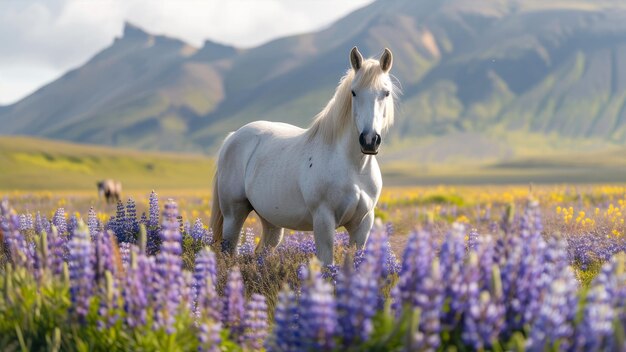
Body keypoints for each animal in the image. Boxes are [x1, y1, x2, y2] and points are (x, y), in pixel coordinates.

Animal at [210, 46, 394, 262]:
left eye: (386, 93)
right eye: (354, 92)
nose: (369, 140)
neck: (354, 167)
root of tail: (233, 137)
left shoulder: (362, 225)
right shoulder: (323, 220)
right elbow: (326, 262)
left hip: (271, 220)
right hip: (234, 214)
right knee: (228, 250)